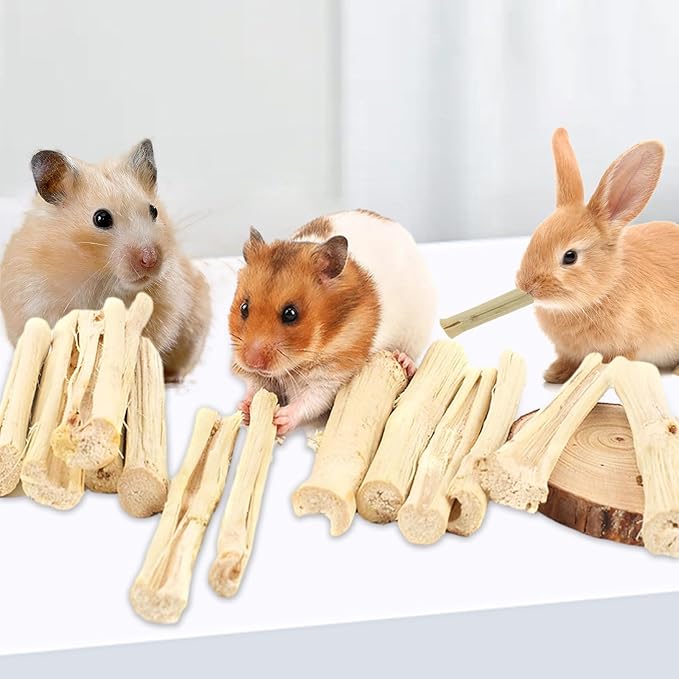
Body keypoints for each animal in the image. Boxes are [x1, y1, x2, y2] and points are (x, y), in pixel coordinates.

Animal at [229, 209, 437, 435]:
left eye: (291, 314)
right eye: (244, 308)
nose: (251, 361)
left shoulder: (332, 373)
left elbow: (312, 400)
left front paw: (280, 418)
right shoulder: (260, 376)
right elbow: (255, 386)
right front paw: (245, 409)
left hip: (416, 331)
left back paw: (403, 360)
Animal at [516, 127, 679, 383]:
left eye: (570, 256)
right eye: (534, 238)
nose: (526, 286)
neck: (606, 286)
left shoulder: (625, 344)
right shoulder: (567, 351)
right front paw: (554, 374)